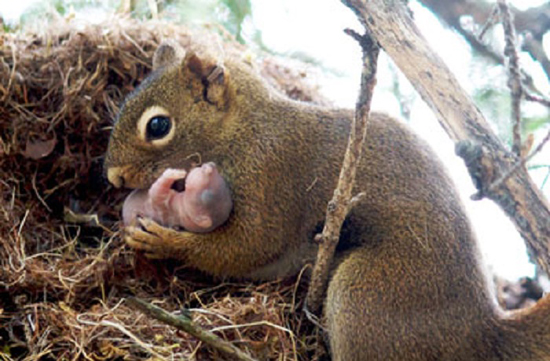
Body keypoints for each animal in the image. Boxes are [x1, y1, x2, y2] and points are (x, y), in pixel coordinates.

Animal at [105, 40, 550, 358]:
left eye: (158, 126)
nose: (113, 176)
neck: (244, 131)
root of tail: (481, 334)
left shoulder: (272, 175)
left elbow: (248, 246)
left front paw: (164, 241)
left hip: (366, 294)